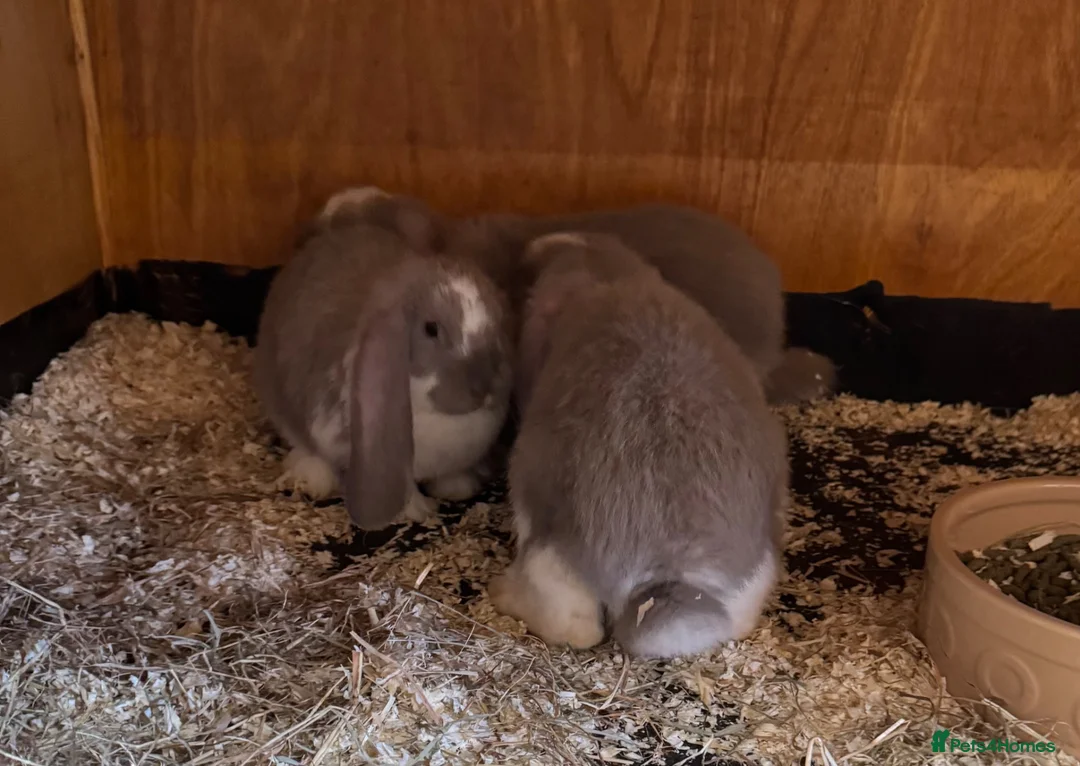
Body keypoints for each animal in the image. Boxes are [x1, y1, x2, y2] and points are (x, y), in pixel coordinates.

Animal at [487, 232, 788, 658]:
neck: (604, 275)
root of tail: (670, 571)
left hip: (547, 543)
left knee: (575, 627)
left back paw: (501, 593)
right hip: (755, 571)